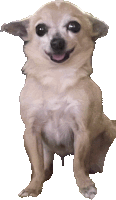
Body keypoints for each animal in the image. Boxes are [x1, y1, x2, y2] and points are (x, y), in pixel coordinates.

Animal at [1, 0, 116, 198]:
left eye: (74, 26)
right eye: (40, 29)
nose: (57, 42)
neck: (57, 76)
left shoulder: (82, 131)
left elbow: (78, 163)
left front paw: (84, 185)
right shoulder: (31, 133)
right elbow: (37, 166)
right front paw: (33, 187)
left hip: (109, 130)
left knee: (90, 159)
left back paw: (92, 167)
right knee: (44, 164)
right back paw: (45, 173)